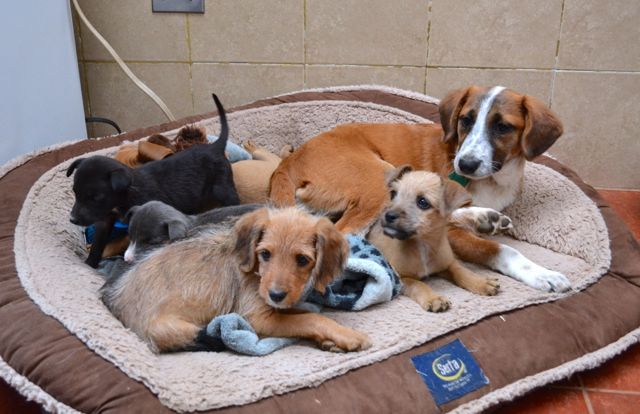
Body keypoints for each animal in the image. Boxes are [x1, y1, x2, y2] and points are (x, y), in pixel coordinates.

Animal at [67, 94, 240, 268]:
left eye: (95, 197)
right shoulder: (105, 220)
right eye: (74, 193)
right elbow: (98, 242)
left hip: (224, 188)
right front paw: (89, 263)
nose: (72, 219)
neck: (126, 194)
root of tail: (215, 146)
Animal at [269, 85, 570, 292]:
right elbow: (501, 251)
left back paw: (483, 217)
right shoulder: (451, 234)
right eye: (466, 120)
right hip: (377, 181)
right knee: (348, 236)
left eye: (503, 127)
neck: (494, 179)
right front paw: (542, 274)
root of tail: (289, 162)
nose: (465, 164)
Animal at [368, 166, 500, 312]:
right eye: (393, 194)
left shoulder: (448, 262)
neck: (424, 245)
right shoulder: (400, 278)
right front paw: (433, 298)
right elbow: (418, 284)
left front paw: (481, 282)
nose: (388, 215)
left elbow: (461, 270)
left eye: (423, 202)